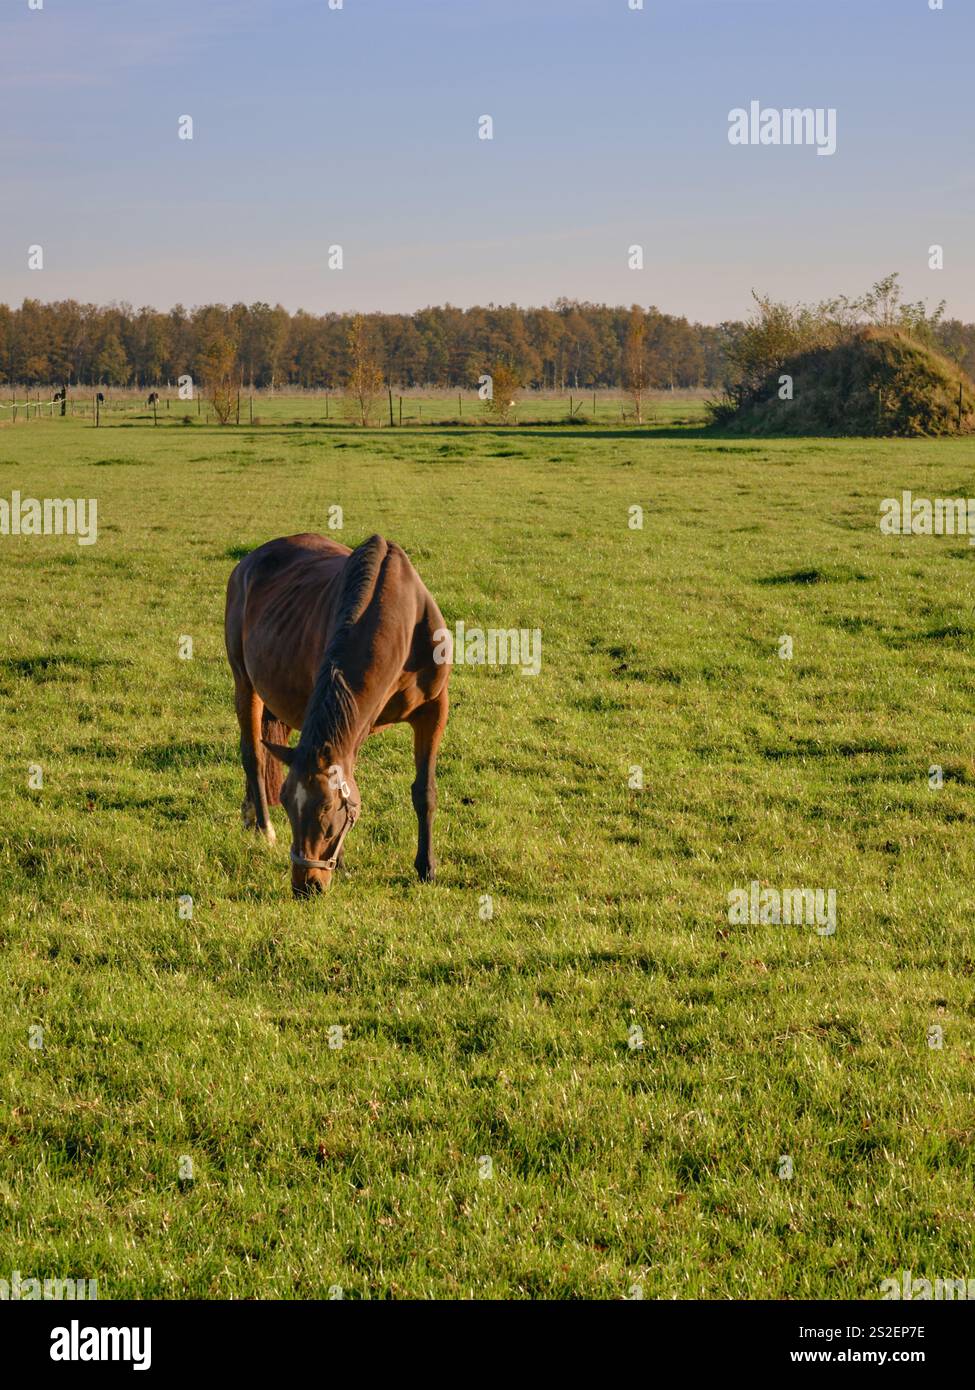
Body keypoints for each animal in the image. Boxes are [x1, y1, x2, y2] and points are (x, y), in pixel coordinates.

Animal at [224, 533, 451, 897]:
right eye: (288, 804)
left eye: (328, 810)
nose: (306, 886)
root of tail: (248, 561)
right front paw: (343, 864)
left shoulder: (433, 710)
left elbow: (424, 791)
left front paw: (426, 868)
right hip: (245, 683)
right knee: (253, 756)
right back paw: (263, 826)